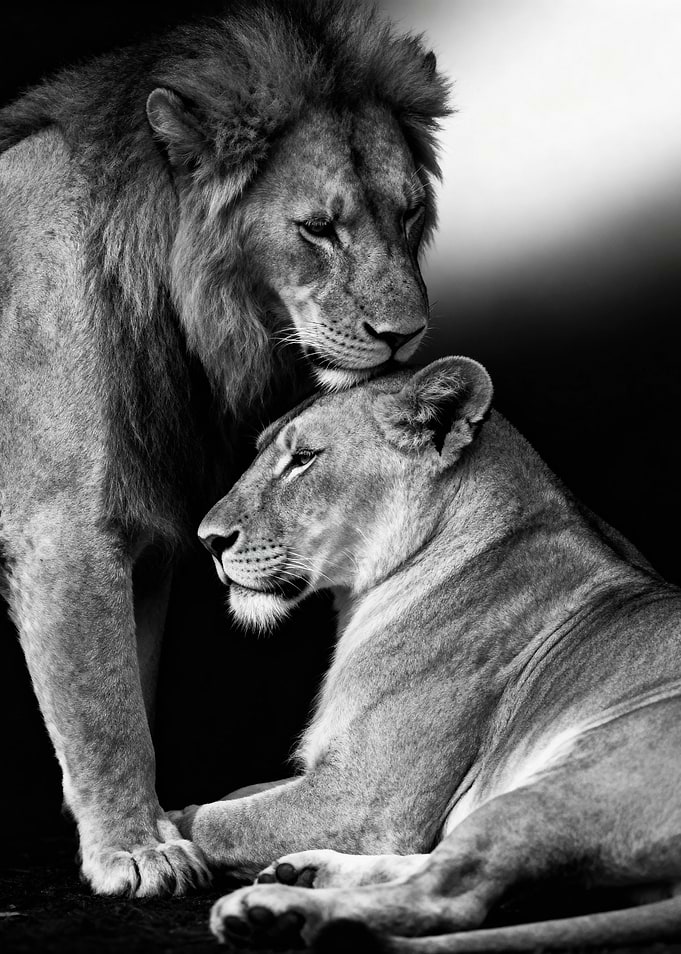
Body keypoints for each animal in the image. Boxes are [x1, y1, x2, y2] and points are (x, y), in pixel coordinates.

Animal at [0, 0, 448, 897]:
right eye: (318, 228)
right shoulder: (64, 526)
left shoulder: (138, 532)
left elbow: (126, 684)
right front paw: (136, 848)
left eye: (409, 211)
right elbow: (104, 705)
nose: (404, 336)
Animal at [172, 357, 681, 949]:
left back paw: (283, 912)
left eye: (303, 459)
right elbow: (237, 792)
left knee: (452, 895)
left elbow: (213, 818)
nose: (208, 540)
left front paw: (164, 838)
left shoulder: (364, 800)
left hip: (571, 779)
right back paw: (303, 872)